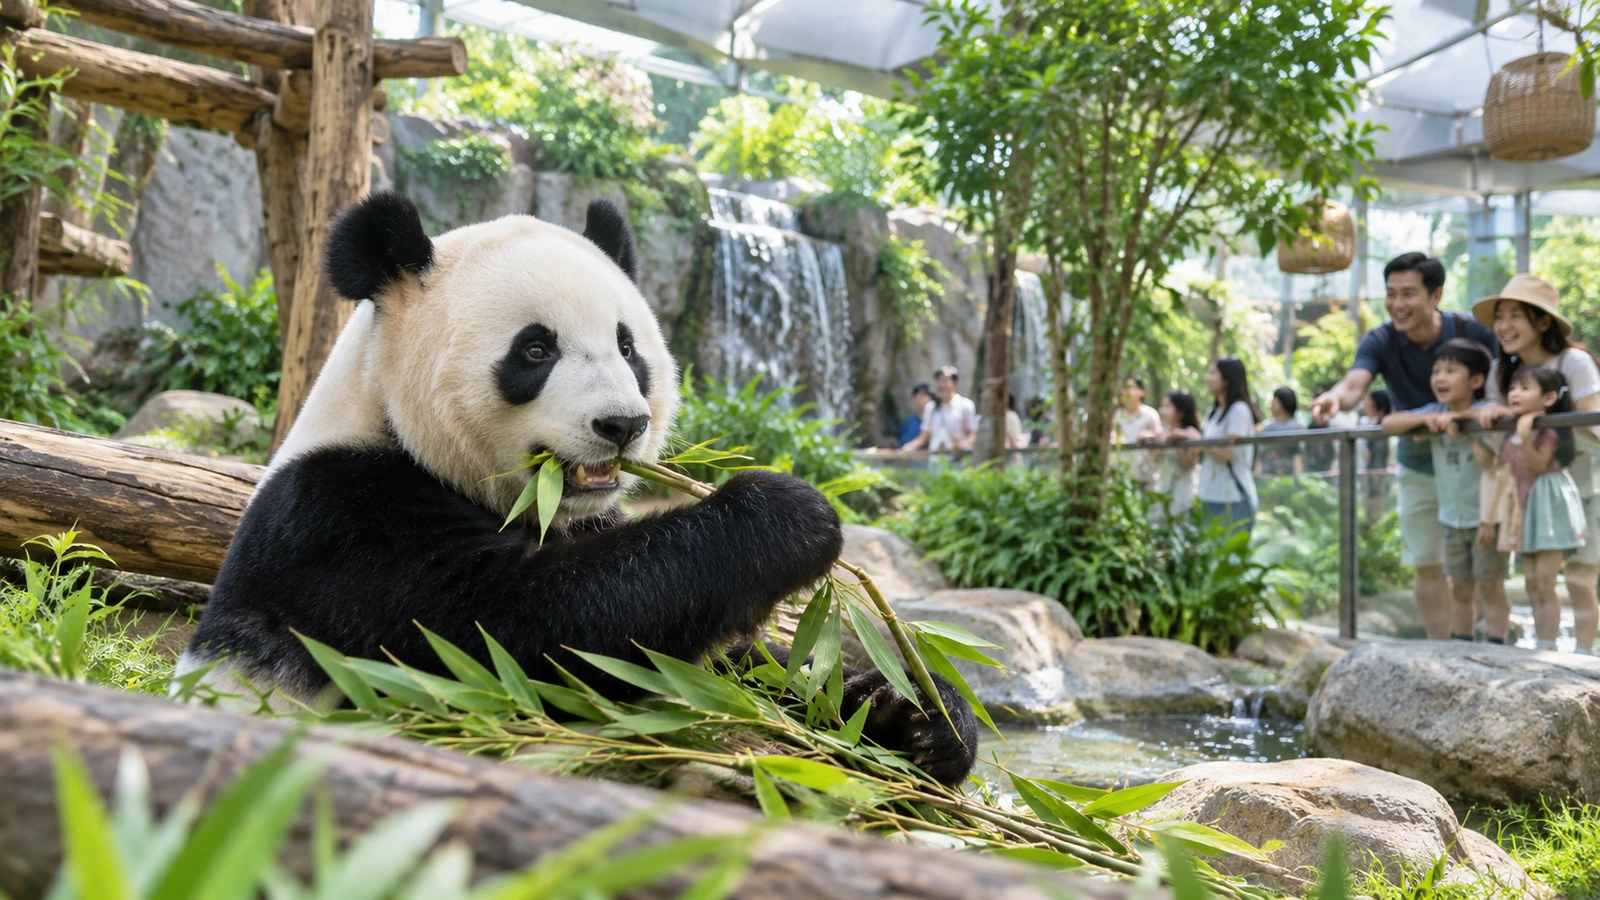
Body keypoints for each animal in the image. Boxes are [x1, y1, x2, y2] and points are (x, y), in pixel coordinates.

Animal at [178, 190, 979, 785]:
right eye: (535, 349)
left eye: (628, 347)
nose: (623, 424)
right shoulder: (341, 520)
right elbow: (521, 633)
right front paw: (790, 515)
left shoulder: (588, 520)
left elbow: (739, 662)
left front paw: (915, 711)